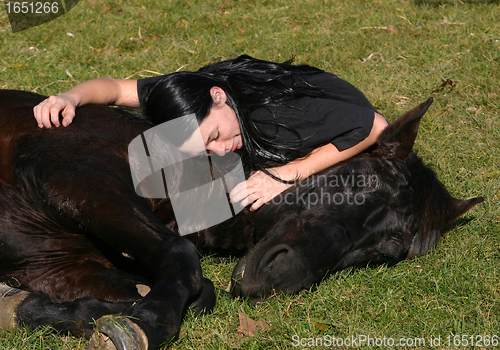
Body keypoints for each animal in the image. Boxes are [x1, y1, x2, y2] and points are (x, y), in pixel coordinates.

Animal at [0, 91, 482, 350]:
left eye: (388, 250)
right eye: (356, 178)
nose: (282, 274)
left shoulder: (56, 266)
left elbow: (197, 287)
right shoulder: (76, 179)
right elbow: (182, 257)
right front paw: (145, 321)